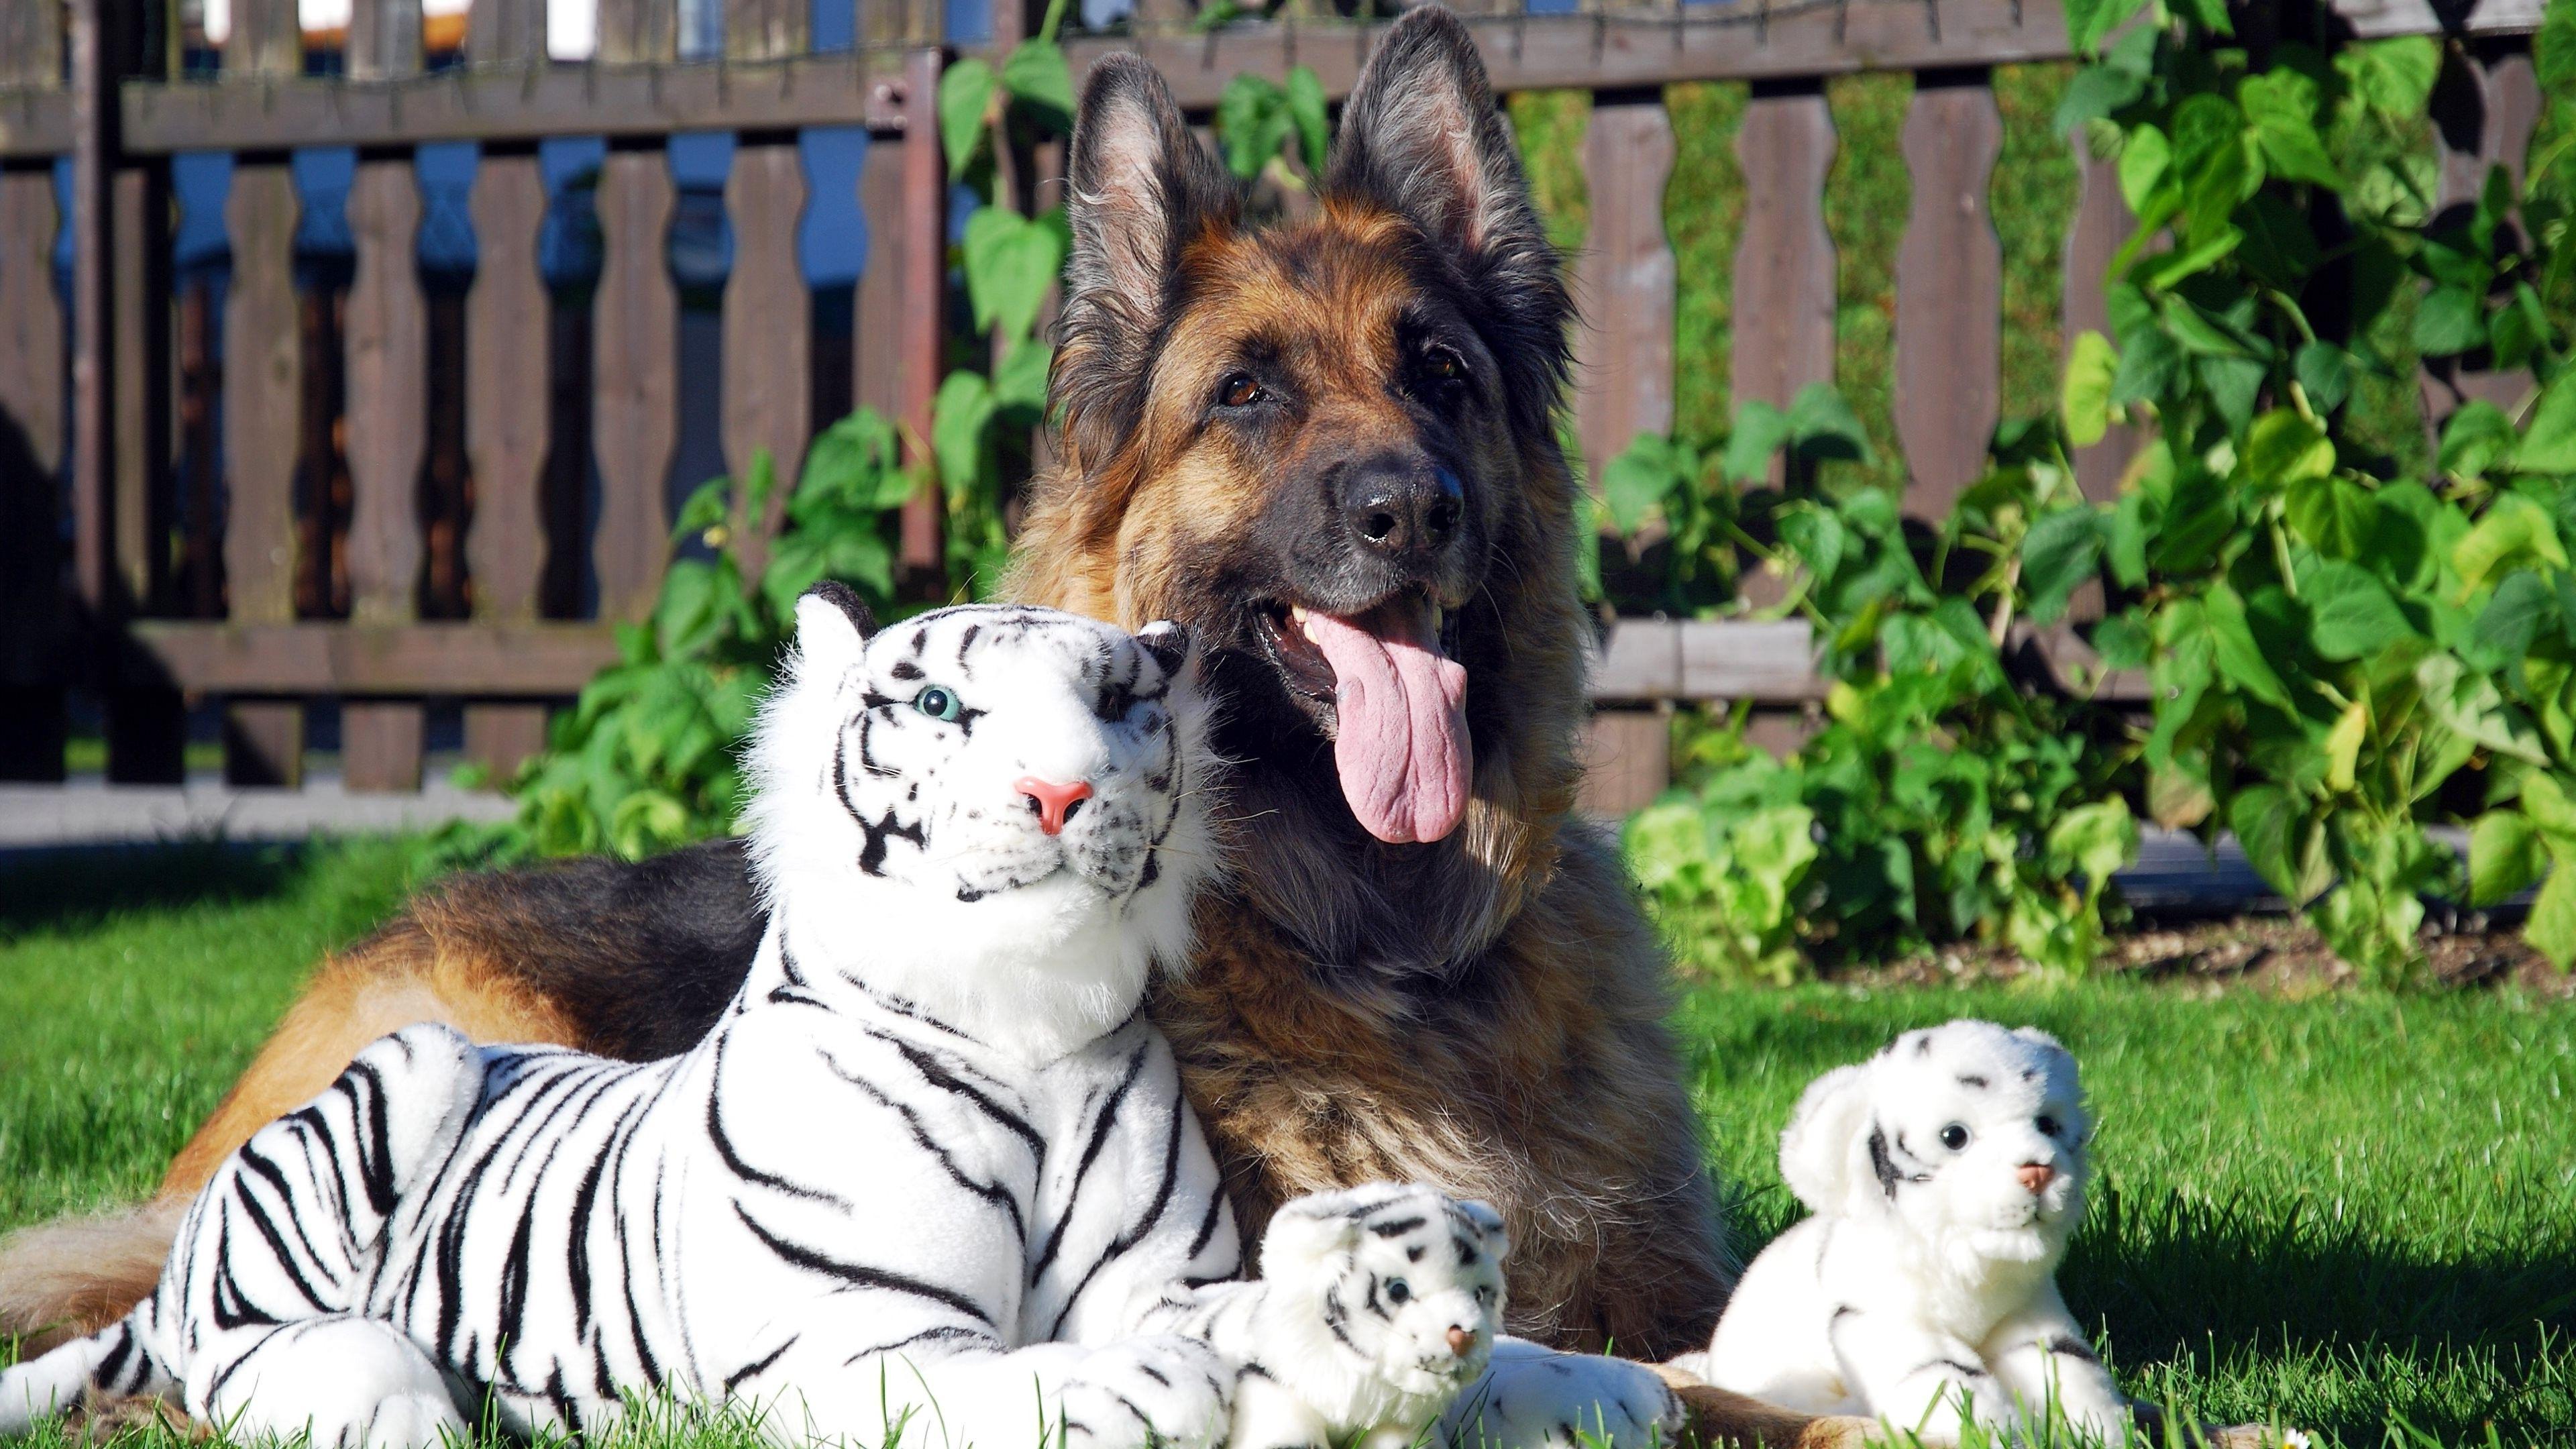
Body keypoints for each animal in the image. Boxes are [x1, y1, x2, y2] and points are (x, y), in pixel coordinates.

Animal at [0, 589, 1252, 1449]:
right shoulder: (857, 1345)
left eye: (1119, 705)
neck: (1026, 1033)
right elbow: (1025, 1376)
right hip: (421, 1065)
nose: (1062, 792)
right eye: (940, 706)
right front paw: (1150, 1385)